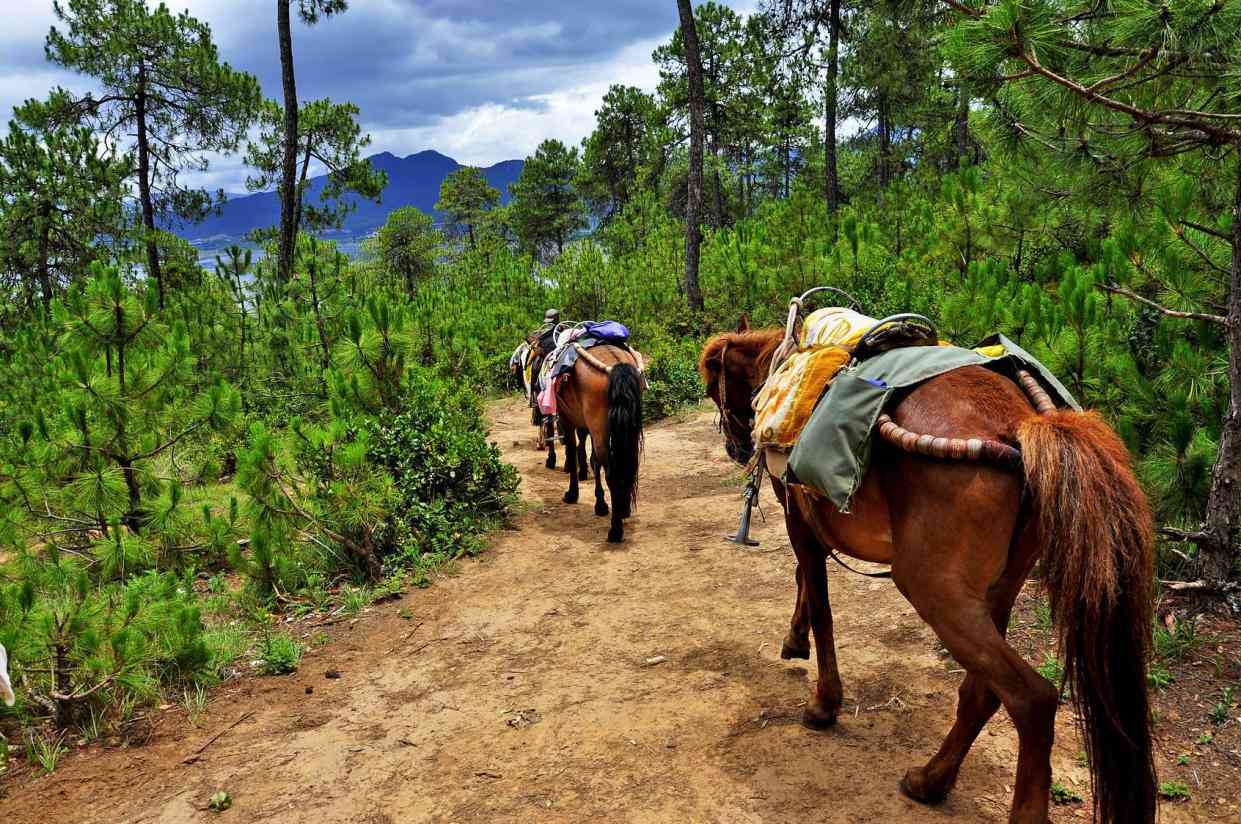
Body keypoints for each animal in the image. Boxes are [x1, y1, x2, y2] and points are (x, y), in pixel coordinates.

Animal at [555, 344, 645, 543]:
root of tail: (617, 366)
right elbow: (593, 460)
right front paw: (600, 502)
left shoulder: (567, 418)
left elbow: (573, 453)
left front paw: (573, 494)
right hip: (628, 428)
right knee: (627, 466)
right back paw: (623, 510)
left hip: (598, 426)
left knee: (611, 474)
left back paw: (615, 530)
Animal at [704, 320, 1156, 824]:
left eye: (711, 388)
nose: (735, 447)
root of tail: (1020, 424)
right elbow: (805, 585)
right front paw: (794, 640)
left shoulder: (798, 521)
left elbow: (818, 602)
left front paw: (823, 703)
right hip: (996, 590)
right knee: (983, 692)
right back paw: (930, 780)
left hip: (933, 590)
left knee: (1032, 699)